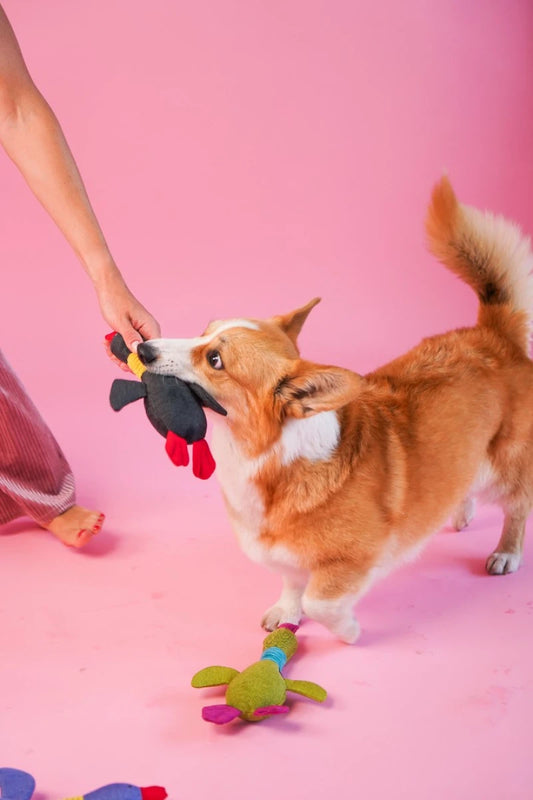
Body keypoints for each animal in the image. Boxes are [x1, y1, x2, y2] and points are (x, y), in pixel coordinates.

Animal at [138, 177, 533, 643]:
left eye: (215, 359)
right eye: (203, 332)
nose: (143, 349)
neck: (266, 455)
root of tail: (494, 334)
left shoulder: (354, 560)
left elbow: (320, 602)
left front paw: (348, 631)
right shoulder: (287, 558)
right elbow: (293, 586)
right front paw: (285, 612)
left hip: (506, 468)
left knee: (517, 507)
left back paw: (506, 553)